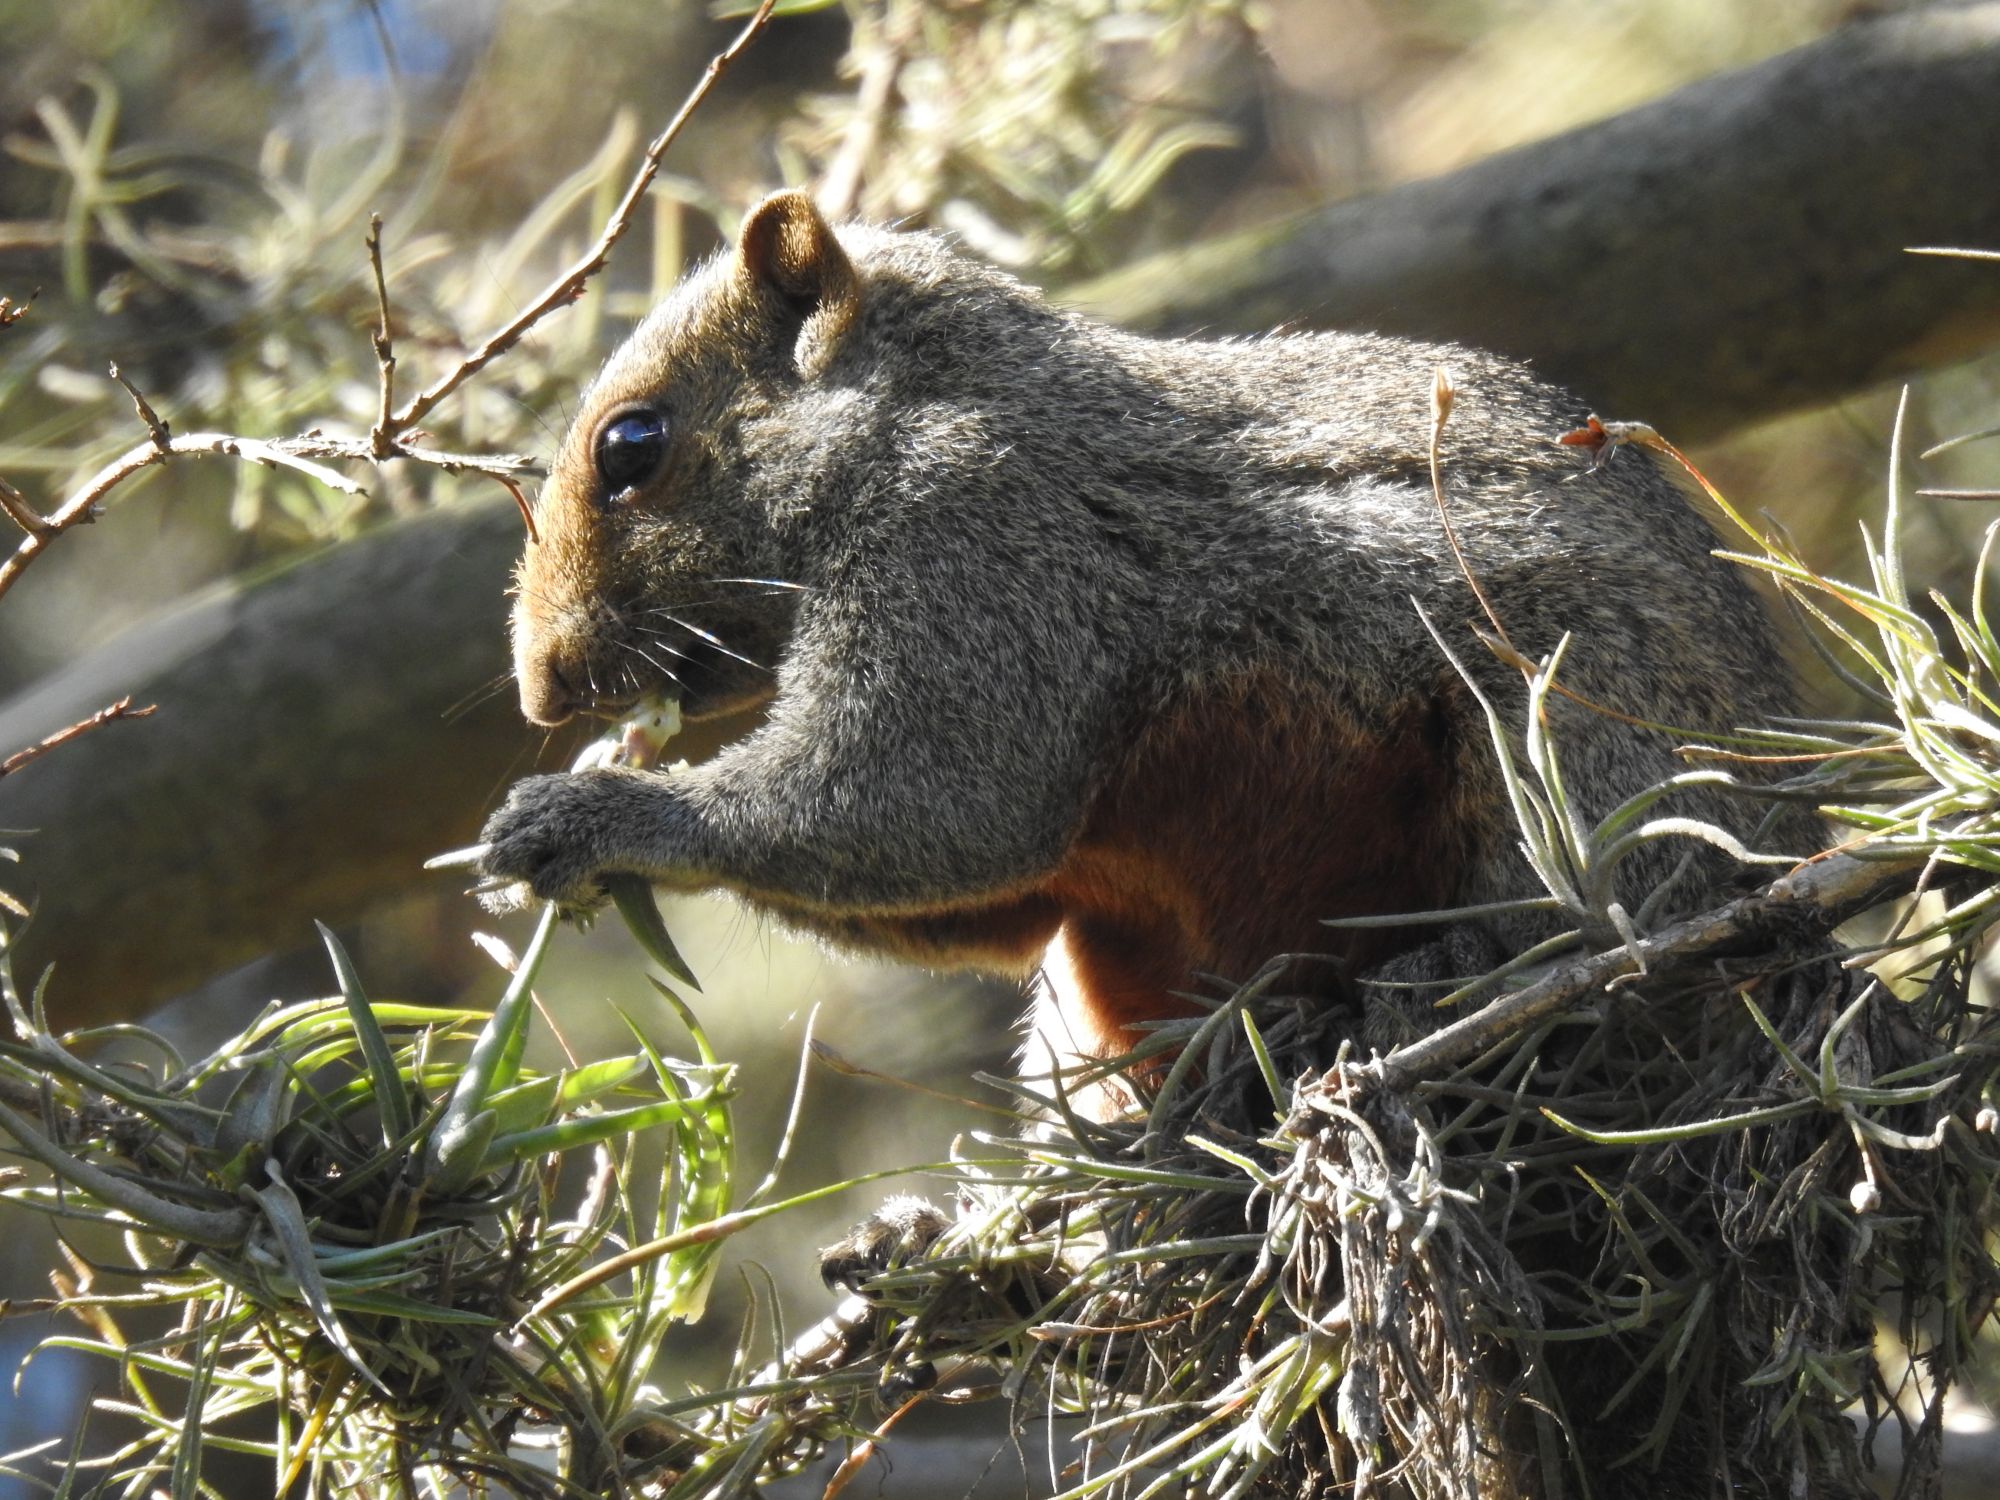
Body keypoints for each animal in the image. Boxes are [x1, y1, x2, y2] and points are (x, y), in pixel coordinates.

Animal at [475, 189, 1800, 1092]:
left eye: (631, 446)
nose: (540, 694)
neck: (913, 412)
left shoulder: (981, 548)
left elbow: (924, 802)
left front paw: (596, 815)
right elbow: (989, 892)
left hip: (1576, 740)